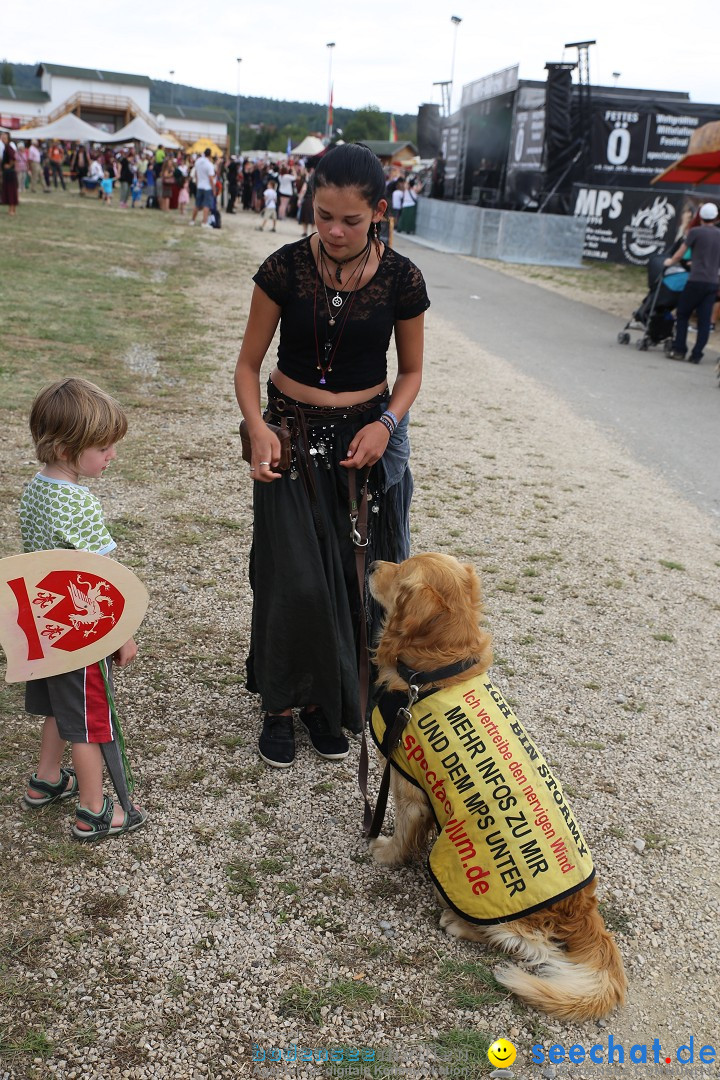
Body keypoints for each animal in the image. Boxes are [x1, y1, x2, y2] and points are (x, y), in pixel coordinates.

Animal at [369, 557, 626, 1019]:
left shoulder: (408, 788)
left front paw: (386, 853)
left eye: (400, 571)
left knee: (521, 944)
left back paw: (458, 924)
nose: (375, 562)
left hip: (467, 882)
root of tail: (584, 908)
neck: (440, 669)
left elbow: (402, 834)